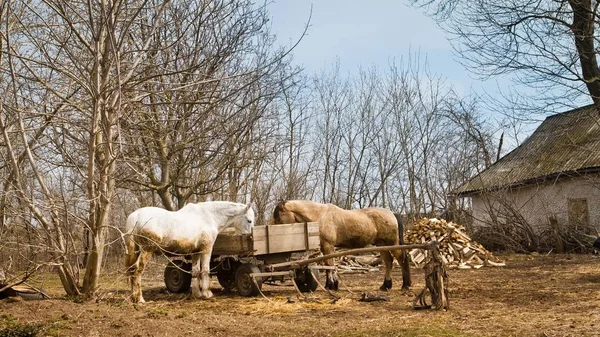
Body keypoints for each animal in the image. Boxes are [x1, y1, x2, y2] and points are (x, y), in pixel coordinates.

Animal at [123, 200, 254, 302]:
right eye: (249, 220)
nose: (249, 236)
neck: (208, 217)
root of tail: (136, 216)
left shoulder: (195, 252)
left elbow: (196, 271)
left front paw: (197, 294)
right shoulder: (206, 250)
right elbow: (205, 270)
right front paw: (207, 294)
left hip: (136, 251)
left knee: (131, 270)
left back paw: (133, 298)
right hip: (147, 250)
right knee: (137, 270)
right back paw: (140, 299)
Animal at [274, 200, 410, 288]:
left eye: (278, 217)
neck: (320, 216)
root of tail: (393, 214)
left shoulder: (328, 246)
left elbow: (330, 264)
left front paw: (332, 285)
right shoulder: (324, 247)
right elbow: (328, 265)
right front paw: (330, 285)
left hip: (392, 244)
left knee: (401, 260)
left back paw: (405, 285)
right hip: (381, 245)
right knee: (388, 262)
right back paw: (385, 286)